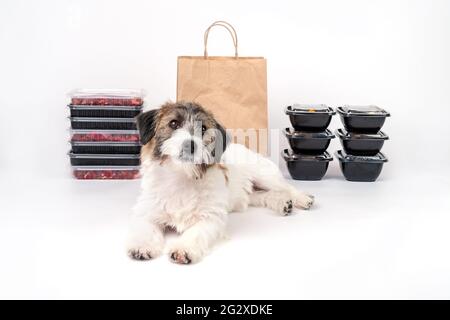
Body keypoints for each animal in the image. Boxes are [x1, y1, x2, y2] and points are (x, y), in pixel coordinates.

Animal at [126, 101, 314, 264]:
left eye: (203, 128)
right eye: (173, 123)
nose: (190, 145)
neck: (181, 176)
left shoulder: (211, 218)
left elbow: (195, 232)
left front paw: (184, 248)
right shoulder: (147, 211)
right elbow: (147, 228)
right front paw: (143, 246)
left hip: (264, 176)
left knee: (286, 187)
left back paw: (302, 199)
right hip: (251, 194)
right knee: (264, 195)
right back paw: (283, 203)